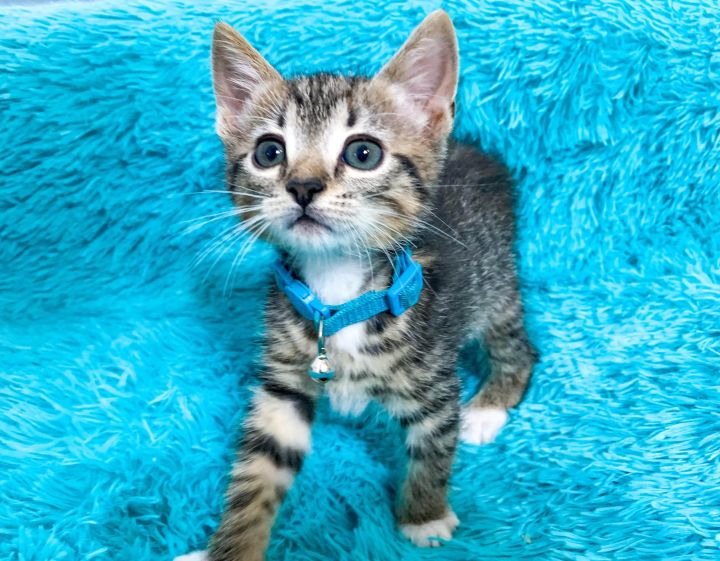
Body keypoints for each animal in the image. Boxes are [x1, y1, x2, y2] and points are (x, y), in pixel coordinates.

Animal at [175, 9, 536, 560]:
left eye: (363, 153)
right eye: (269, 152)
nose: (302, 186)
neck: (338, 291)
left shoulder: (433, 379)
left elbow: (433, 447)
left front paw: (423, 517)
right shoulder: (283, 384)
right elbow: (258, 472)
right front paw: (227, 549)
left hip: (494, 282)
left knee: (519, 345)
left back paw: (488, 409)